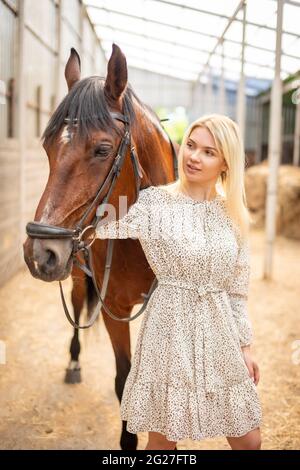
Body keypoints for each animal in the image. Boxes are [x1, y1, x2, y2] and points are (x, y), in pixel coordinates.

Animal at [23, 45, 178, 452]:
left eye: (102, 149)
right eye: (47, 148)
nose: (39, 253)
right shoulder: (114, 310)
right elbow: (124, 380)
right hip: (77, 275)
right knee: (78, 305)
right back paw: (74, 363)